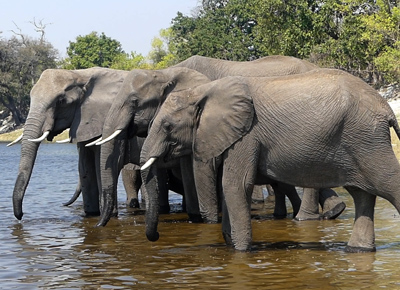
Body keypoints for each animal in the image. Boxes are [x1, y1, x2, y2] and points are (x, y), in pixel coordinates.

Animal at [96, 55, 344, 225]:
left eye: (134, 101)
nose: (100, 225)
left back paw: (307, 218)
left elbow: (198, 168)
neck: (166, 72)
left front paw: (206, 219)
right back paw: (334, 211)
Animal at [141, 68, 400, 251]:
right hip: (358, 143)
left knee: (388, 184)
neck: (201, 91)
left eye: (167, 126)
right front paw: (230, 243)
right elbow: (228, 187)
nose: (155, 238)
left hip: (366, 138)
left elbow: (235, 185)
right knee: (361, 193)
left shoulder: (246, 136)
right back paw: (358, 250)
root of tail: (386, 107)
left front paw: (241, 251)